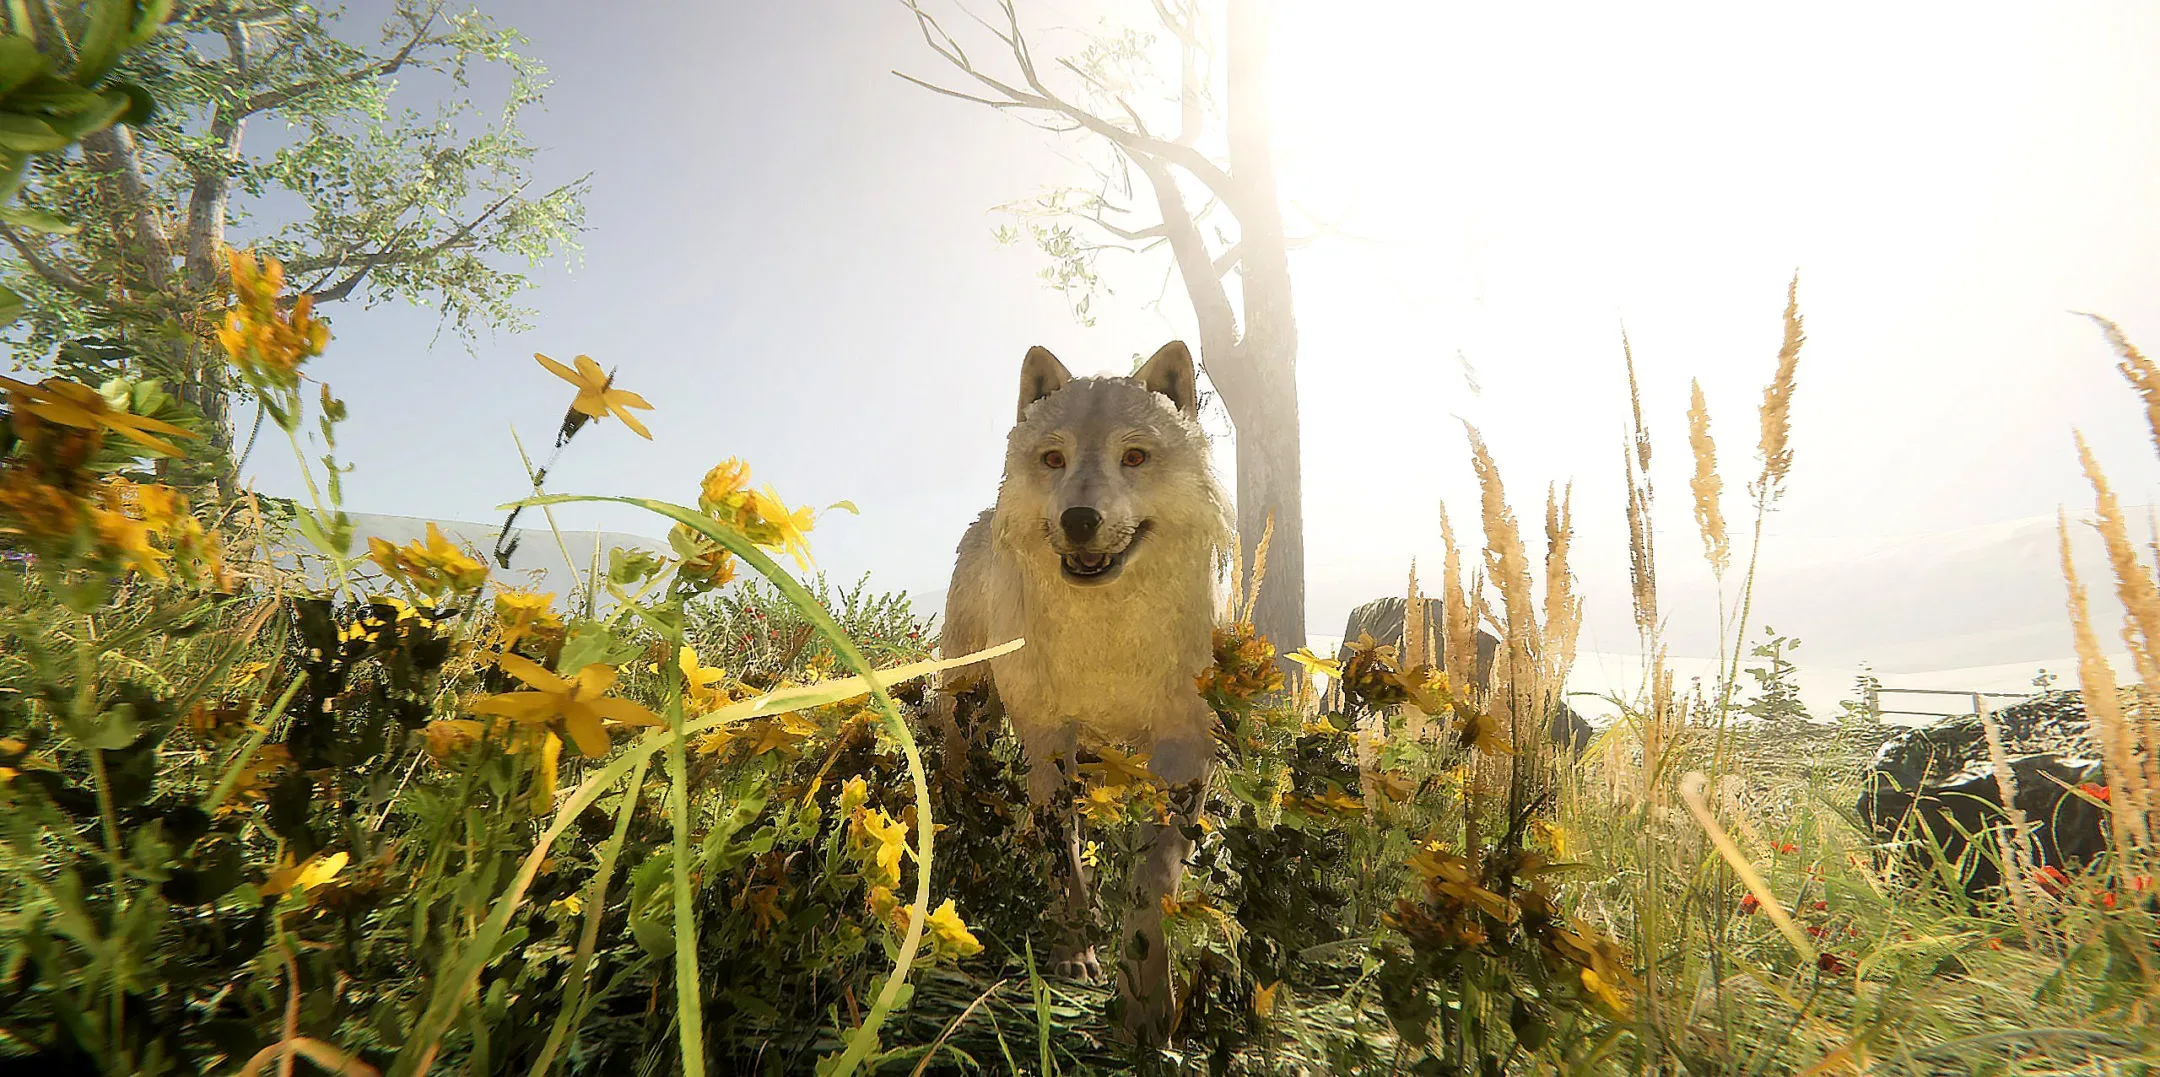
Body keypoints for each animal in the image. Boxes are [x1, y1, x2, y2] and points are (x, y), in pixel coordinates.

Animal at [937, 340, 1233, 1043]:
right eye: (1054, 459)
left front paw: (1147, 1007)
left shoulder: (1186, 748)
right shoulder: (1048, 739)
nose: (1078, 520)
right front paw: (1075, 957)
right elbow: (1063, 855)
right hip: (969, 707)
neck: (1107, 637)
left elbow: (1152, 879)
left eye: (1135, 456)